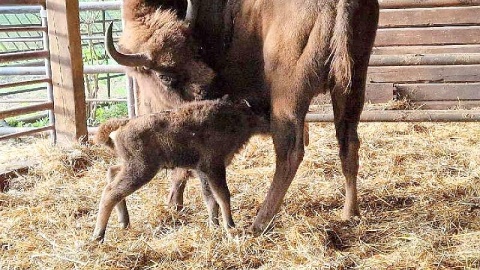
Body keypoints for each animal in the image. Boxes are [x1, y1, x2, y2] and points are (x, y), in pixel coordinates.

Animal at [91, 98, 270, 242]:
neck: (238, 116)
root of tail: (125, 124)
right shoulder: (213, 167)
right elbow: (223, 196)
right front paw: (230, 226)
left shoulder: (203, 172)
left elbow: (210, 199)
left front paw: (215, 225)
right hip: (141, 169)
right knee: (111, 192)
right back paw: (99, 235)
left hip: (131, 165)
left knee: (112, 173)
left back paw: (124, 222)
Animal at [108, 0, 378, 232]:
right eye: (165, 75)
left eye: (197, 51)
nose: (205, 91)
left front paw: (176, 203)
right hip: (351, 84)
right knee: (348, 143)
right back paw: (350, 213)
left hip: (288, 95)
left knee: (290, 152)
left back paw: (259, 222)